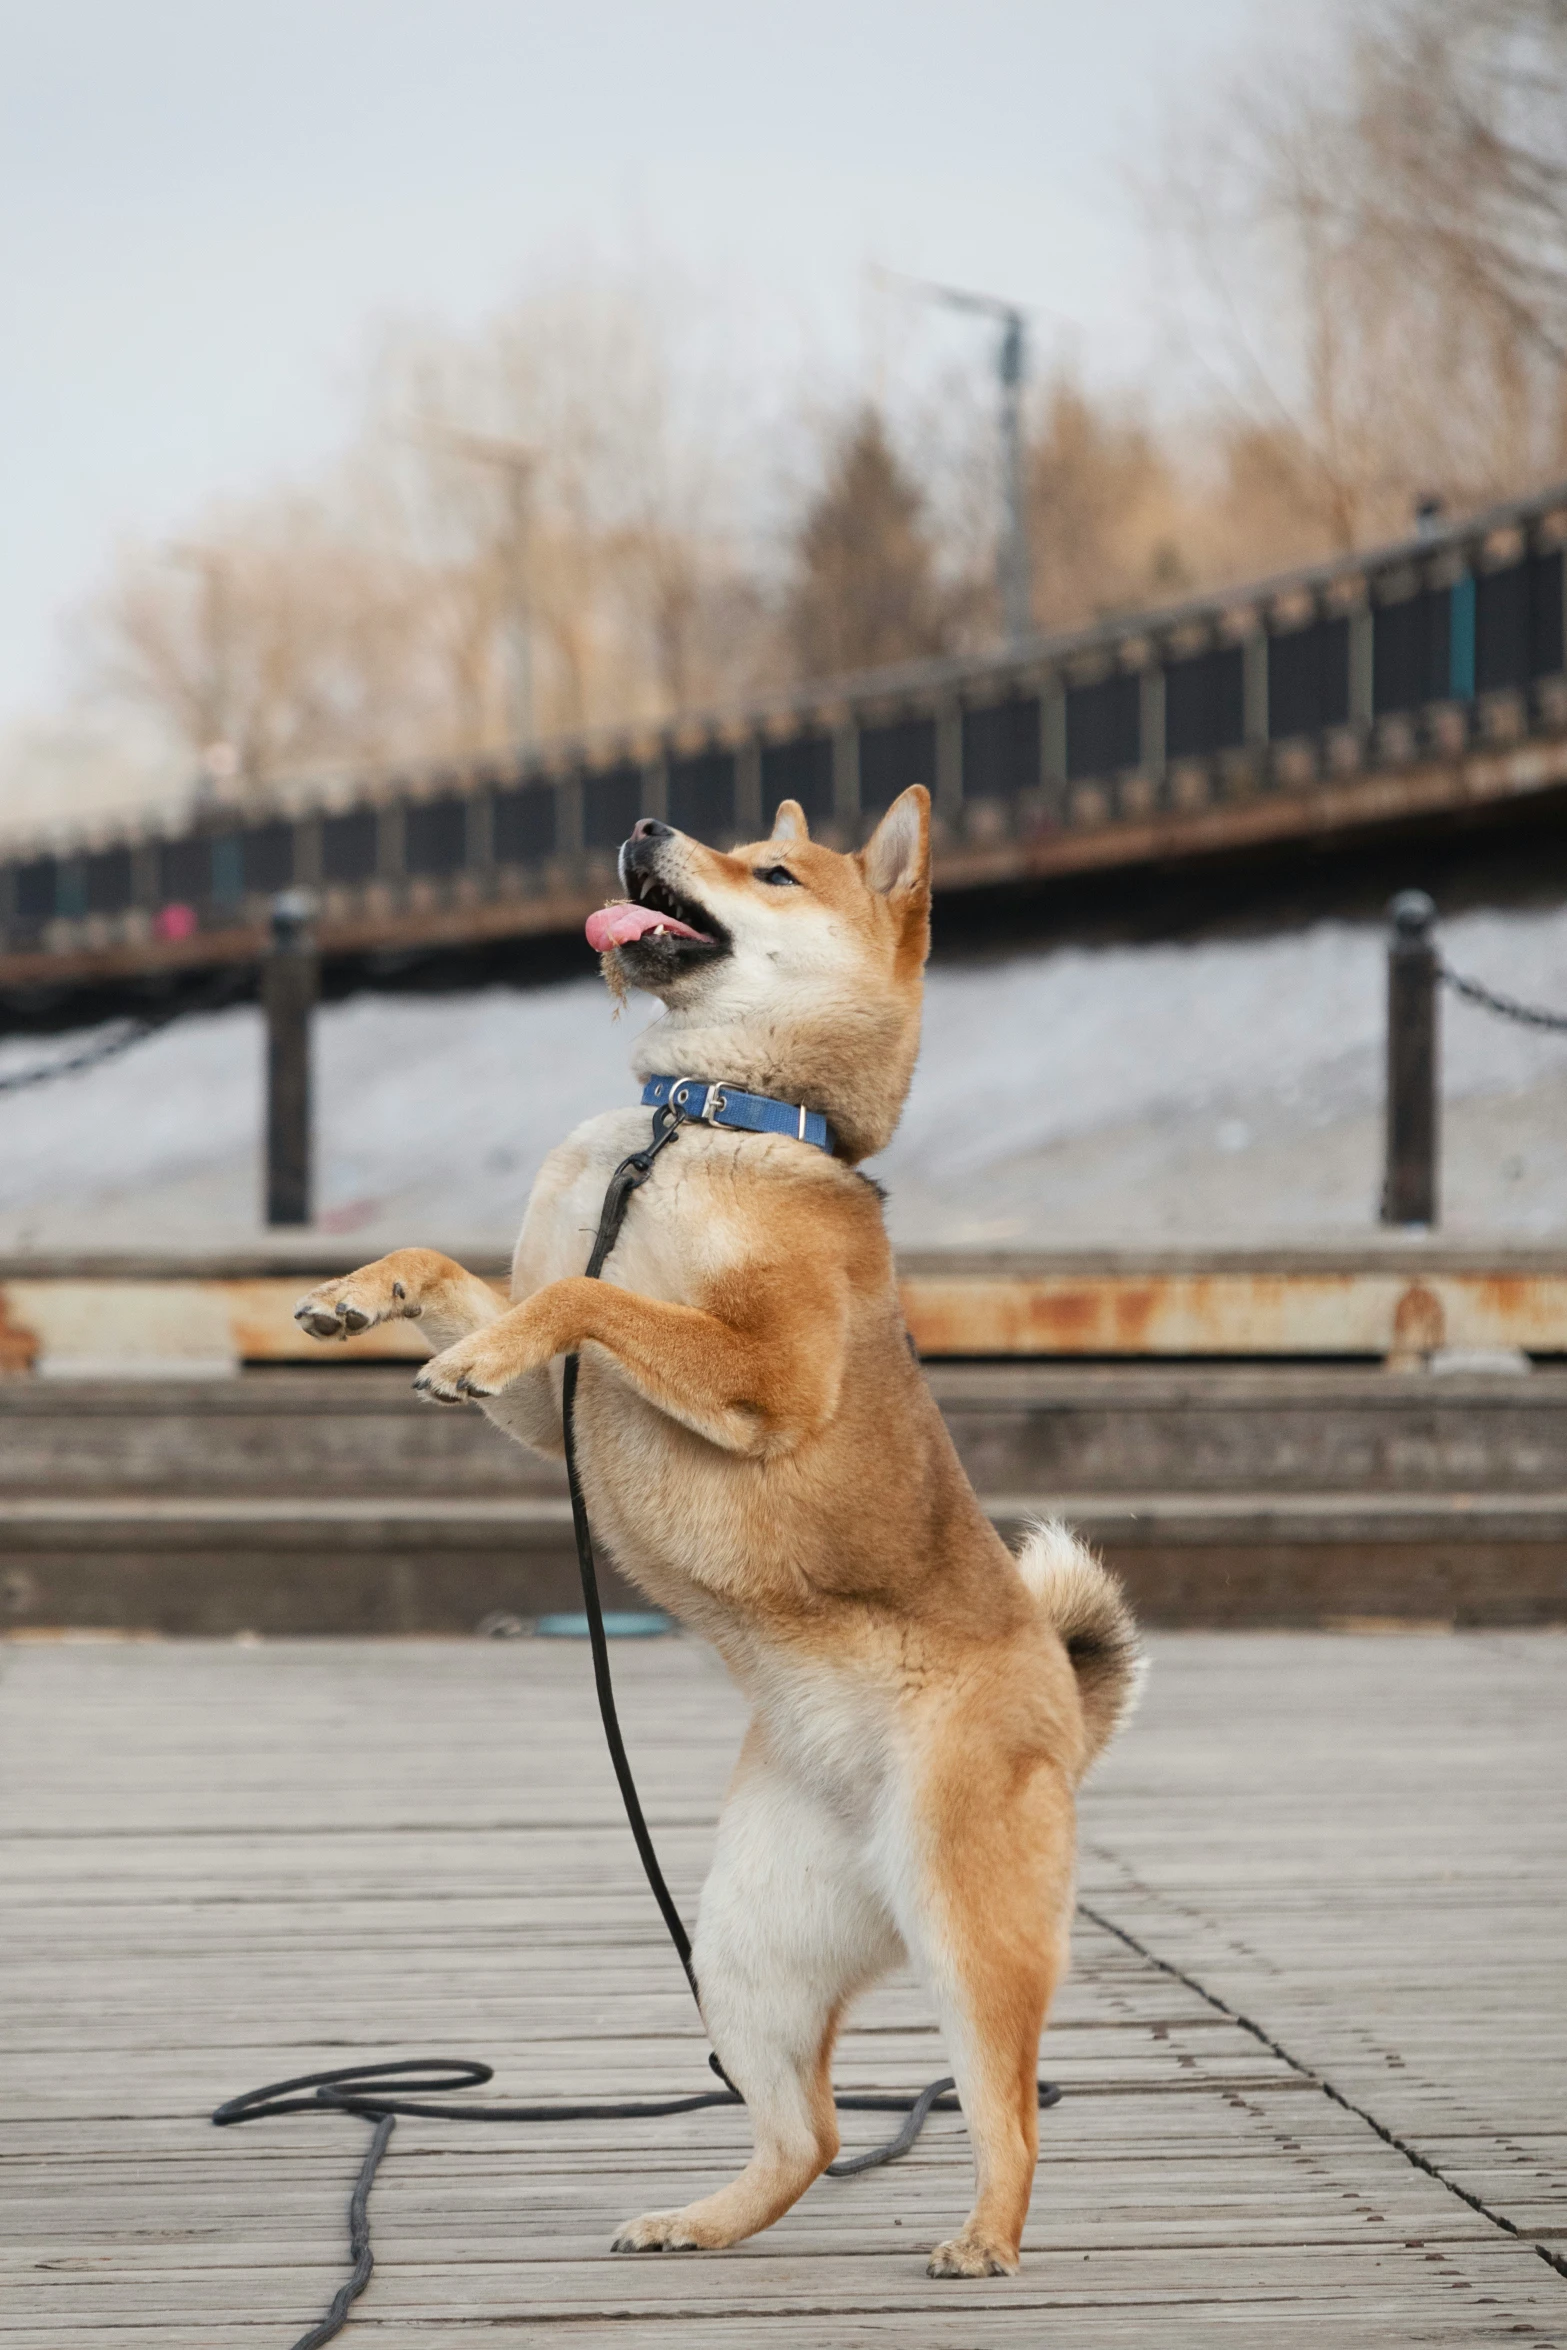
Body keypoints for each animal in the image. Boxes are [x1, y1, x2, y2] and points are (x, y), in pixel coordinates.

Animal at [293, 784, 1141, 2274]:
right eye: (739, 841)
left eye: (772, 869)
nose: (643, 824)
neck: (698, 1120)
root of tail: (1056, 1687)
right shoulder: (557, 1413)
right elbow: (466, 1275)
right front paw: (364, 1293)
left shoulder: (759, 1371)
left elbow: (585, 1299)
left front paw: (484, 1336)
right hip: (742, 1946)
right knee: (807, 2131)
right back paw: (701, 2219)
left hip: (965, 1926)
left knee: (1007, 2111)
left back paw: (983, 2236)